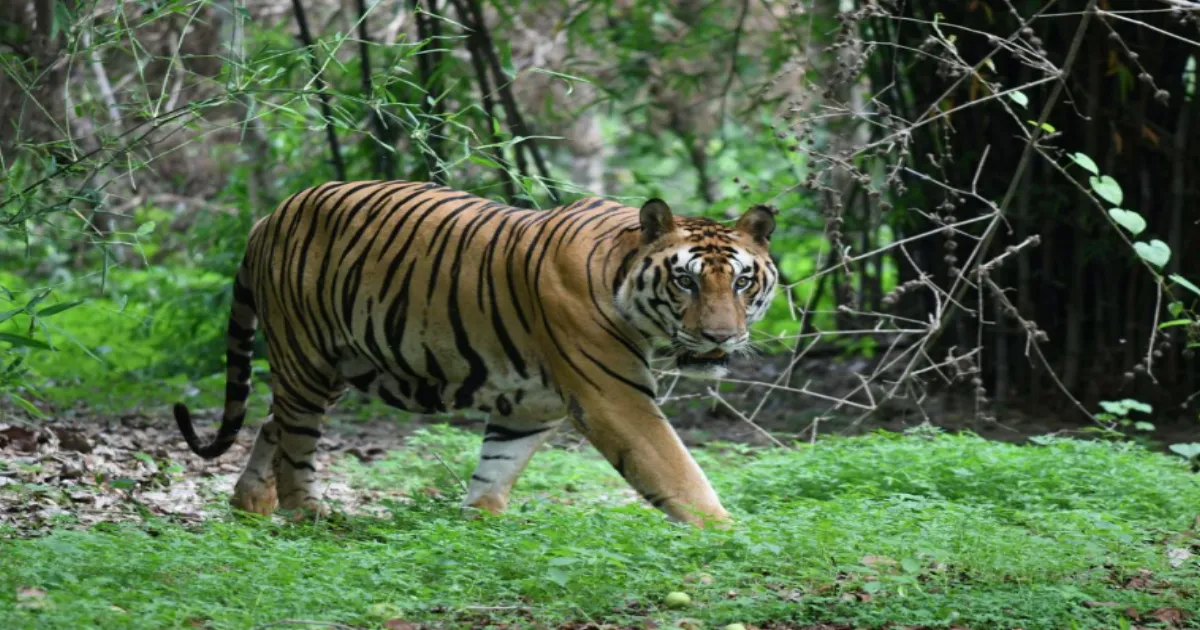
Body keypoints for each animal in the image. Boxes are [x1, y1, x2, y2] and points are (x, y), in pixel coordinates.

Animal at [173, 180, 779, 527]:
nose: (722, 337)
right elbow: (676, 470)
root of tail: (269, 217)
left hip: (340, 362)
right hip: (307, 355)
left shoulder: (532, 405)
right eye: (686, 281)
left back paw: (251, 505)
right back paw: (311, 516)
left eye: (742, 282)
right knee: (296, 440)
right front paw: (728, 534)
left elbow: (496, 468)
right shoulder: (613, 397)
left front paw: (479, 524)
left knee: (273, 422)